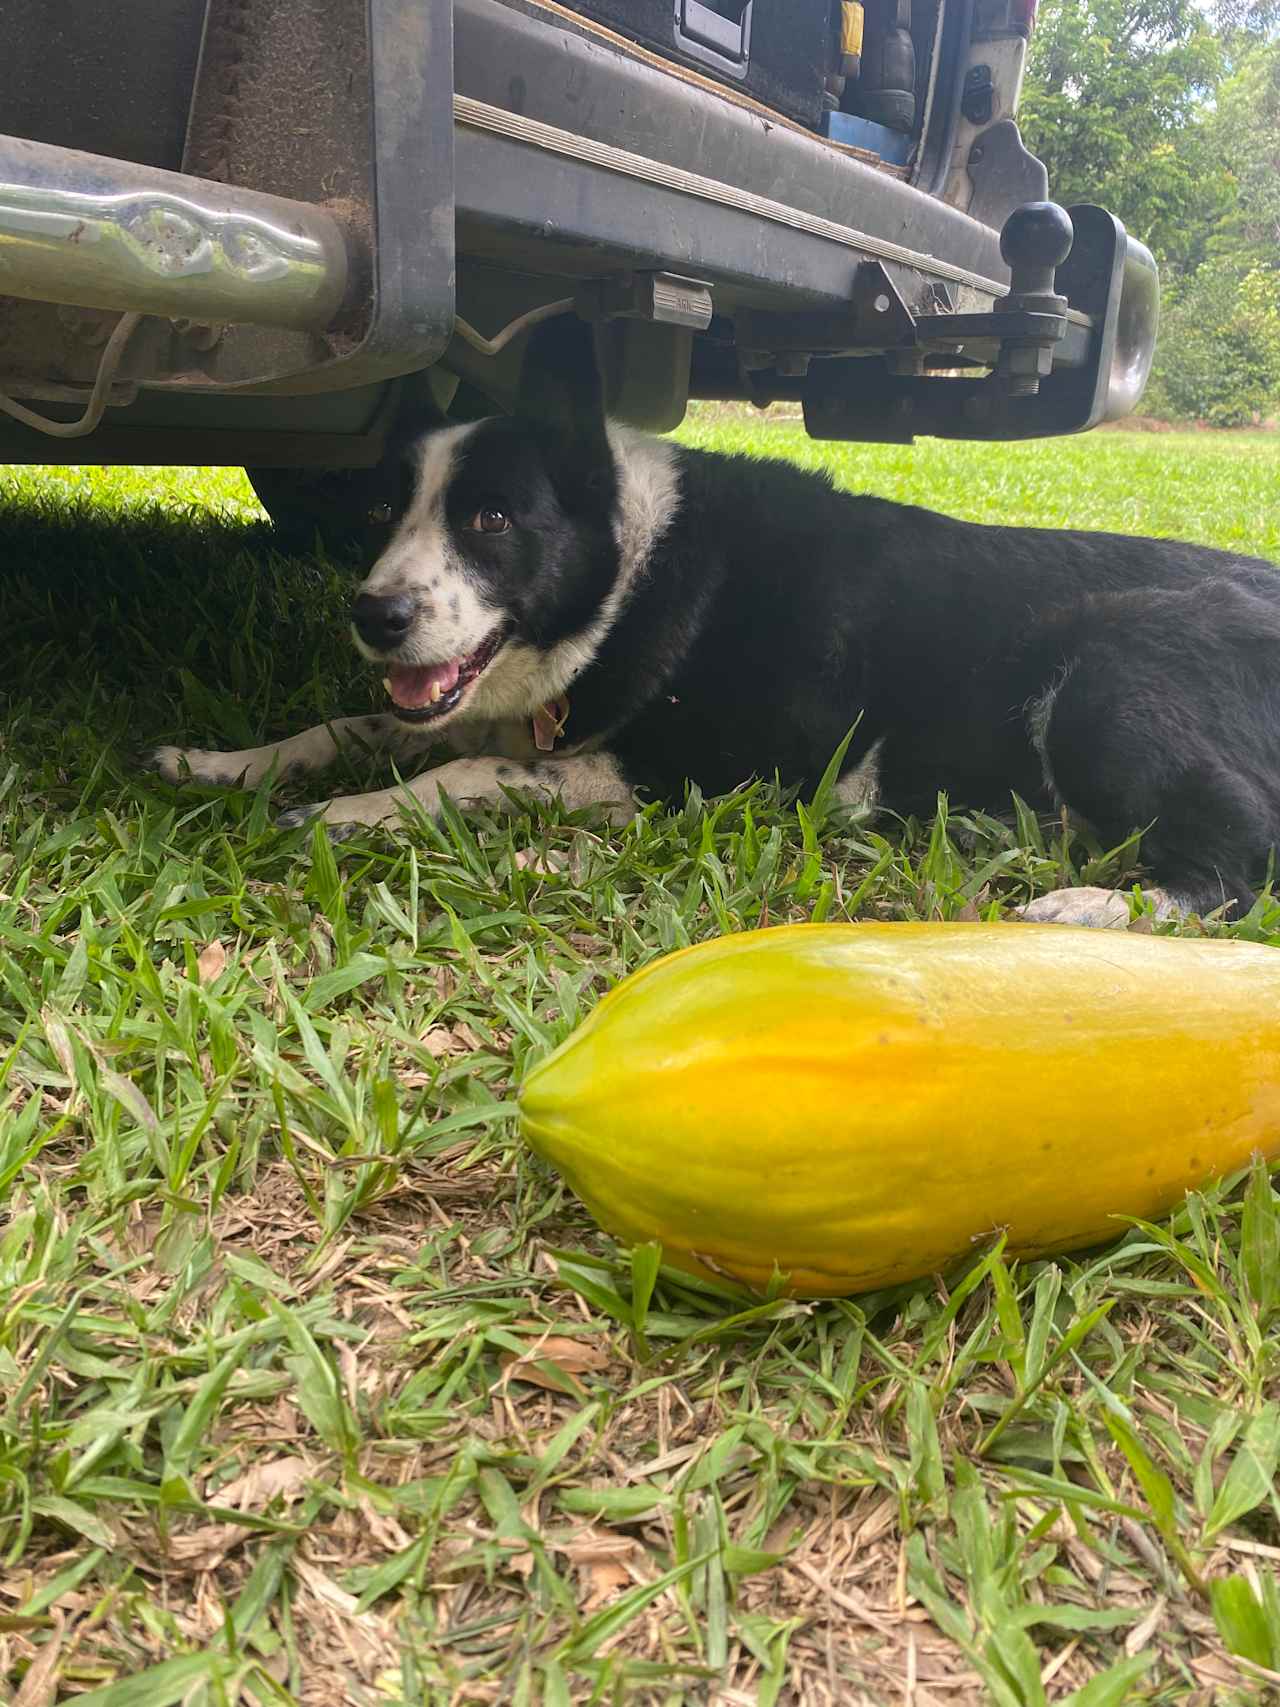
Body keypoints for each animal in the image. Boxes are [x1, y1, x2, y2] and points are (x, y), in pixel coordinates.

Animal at [152, 324, 1280, 928]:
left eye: (491, 519)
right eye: (385, 511)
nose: (373, 616)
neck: (636, 576)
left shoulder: (698, 772)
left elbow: (471, 769)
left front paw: (346, 814)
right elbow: (347, 726)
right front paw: (223, 763)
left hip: (1111, 676)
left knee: (1238, 851)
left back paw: (1092, 911)